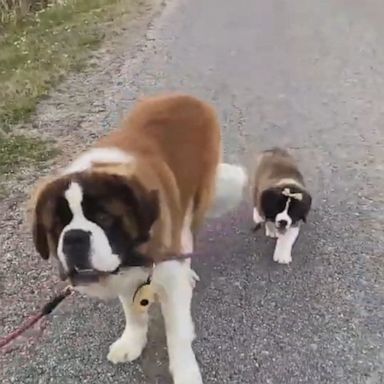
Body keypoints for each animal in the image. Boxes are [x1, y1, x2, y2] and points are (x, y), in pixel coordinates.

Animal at [29, 94, 246, 384]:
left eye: (104, 217)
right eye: (56, 226)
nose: (74, 238)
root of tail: (186, 97)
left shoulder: (168, 275)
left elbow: (177, 332)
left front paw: (186, 373)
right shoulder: (123, 275)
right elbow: (133, 311)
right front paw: (131, 342)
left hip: (196, 201)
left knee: (187, 237)